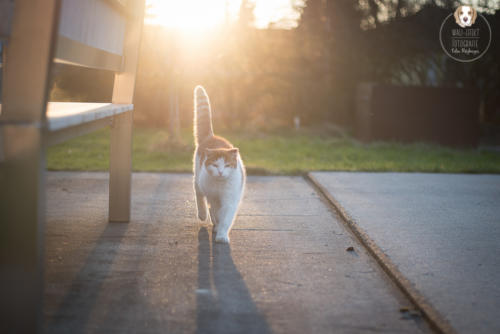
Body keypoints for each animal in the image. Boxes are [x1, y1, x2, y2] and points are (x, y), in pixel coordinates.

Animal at [192, 85, 245, 244]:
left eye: (227, 165)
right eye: (215, 165)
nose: (221, 172)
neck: (220, 186)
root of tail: (211, 136)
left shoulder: (229, 200)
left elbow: (225, 218)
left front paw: (221, 235)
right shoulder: (214, 198)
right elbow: (215, 211)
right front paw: (217, 225)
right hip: (198, 179)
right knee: (199, 196)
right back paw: (203, 214)